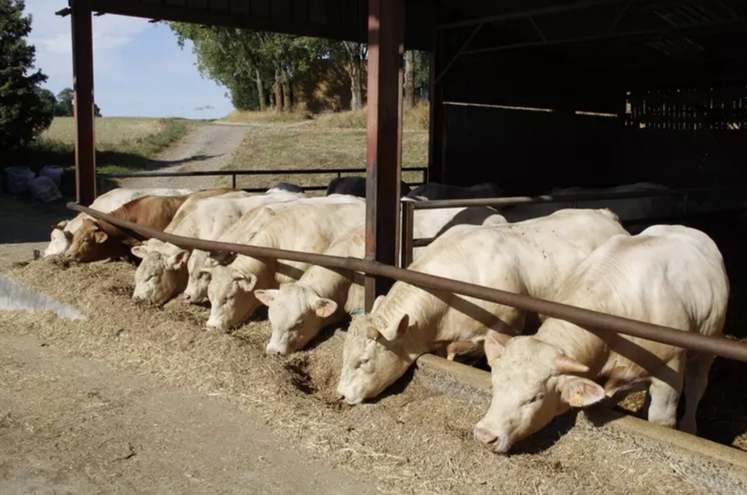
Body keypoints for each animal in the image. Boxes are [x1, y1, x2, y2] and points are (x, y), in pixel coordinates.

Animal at [474, 225, 732, 454]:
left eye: (535, 398)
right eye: (494, 385)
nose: (485, 436)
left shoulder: (670, 371)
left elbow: (662, 420)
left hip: (709, 343)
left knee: (697, 385)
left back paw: (689, 427)